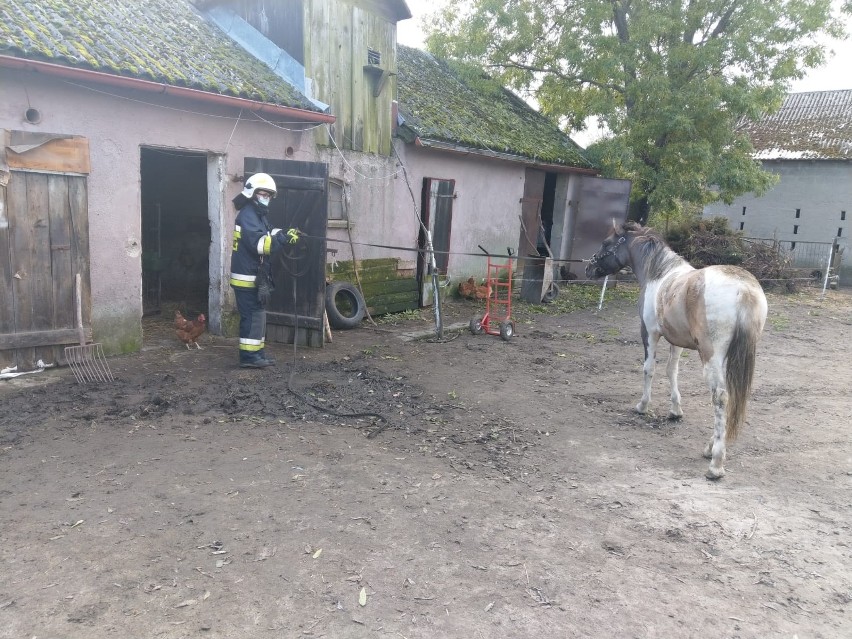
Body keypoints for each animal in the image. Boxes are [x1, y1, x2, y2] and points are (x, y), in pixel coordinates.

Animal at [584, 222, 768, 478]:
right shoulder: (676, 341)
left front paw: (643, 406)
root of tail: (744, 290)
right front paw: (675, 410)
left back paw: (716, 463)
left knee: (720, 397)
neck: (659, 275)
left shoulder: (649, 333)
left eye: (605, 243)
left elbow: (649, 369)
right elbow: (672, 371)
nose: (589, 269)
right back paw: (710, 448)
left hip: (710, 358)